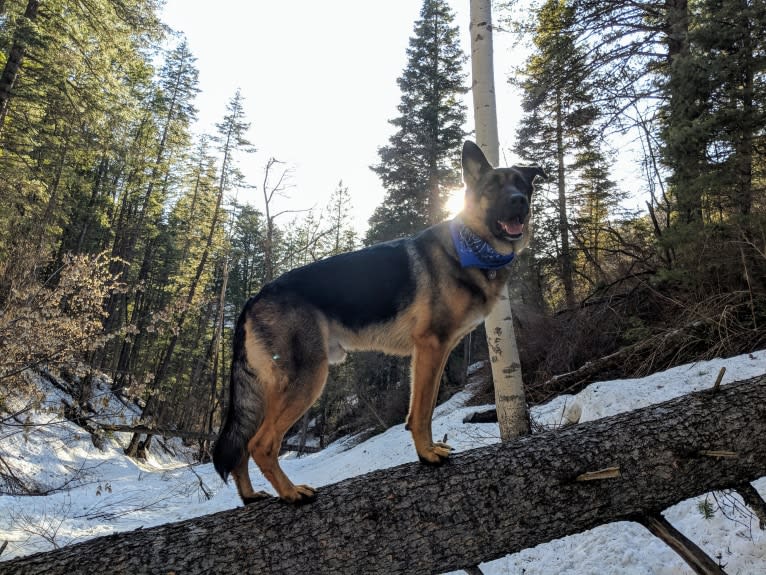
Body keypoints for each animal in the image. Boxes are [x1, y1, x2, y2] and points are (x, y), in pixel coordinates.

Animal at [213, 142, 544, 506]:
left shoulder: (437, 352)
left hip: (269, 390)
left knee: (241, 445)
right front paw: (427, 454)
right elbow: (422, 411)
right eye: (494, 188)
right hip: (308, 378)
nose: (519, 201)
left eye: (522, 186)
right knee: (261, 443)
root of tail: (255, 297)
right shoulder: (430, 347)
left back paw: (250, 495)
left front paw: (428, 449)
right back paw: (291, 493)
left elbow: (423, 406)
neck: (470, 245)